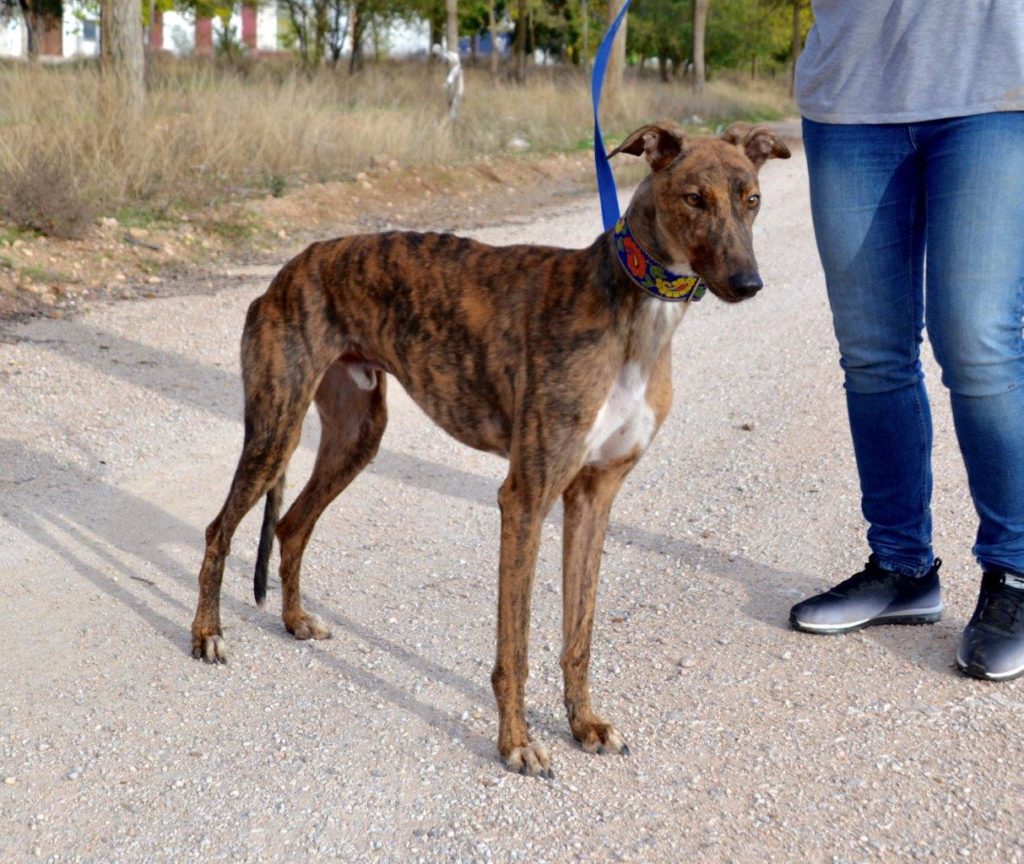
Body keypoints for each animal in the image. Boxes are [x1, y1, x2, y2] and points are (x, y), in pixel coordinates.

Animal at [190, 119, 782, 778]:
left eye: (751, 198)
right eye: (694, 199)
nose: (749, 284)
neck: (632, 309)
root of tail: (287, 271)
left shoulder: (594, 496)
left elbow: (579, 634)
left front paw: (584, 724)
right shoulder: (526, 497)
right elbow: (515, 646)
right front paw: (516, 742)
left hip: (356, 435)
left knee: (291, 526)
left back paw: (294, 620)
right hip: (277, 426)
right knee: (219, 530)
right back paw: (207, 634)